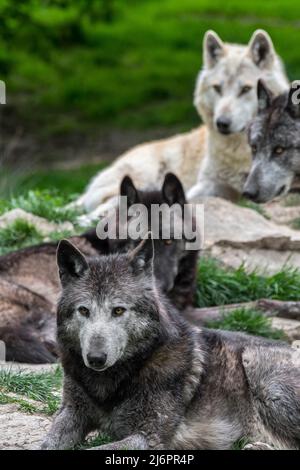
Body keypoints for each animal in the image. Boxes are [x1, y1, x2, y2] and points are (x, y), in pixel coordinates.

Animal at [41, 237, 300, 450]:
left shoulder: (148, 437)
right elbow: (47, 443)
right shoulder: (71, 412)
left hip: (261, 373)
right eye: (84, 310)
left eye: (118, 310)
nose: (95, 358)